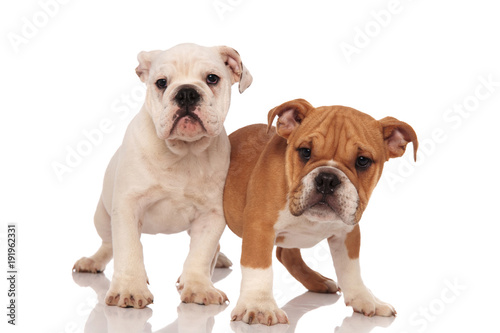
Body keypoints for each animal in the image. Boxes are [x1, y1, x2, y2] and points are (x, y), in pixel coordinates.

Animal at [224, 98, 418, 324]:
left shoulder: (348, 233)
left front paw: (365, 298)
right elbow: (258, 267)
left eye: (362, 161)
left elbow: (350, 269)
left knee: (286, 254)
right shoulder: (260, 226)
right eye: (305, 152)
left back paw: (317, 281)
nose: (327, 179)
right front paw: (259, 305)